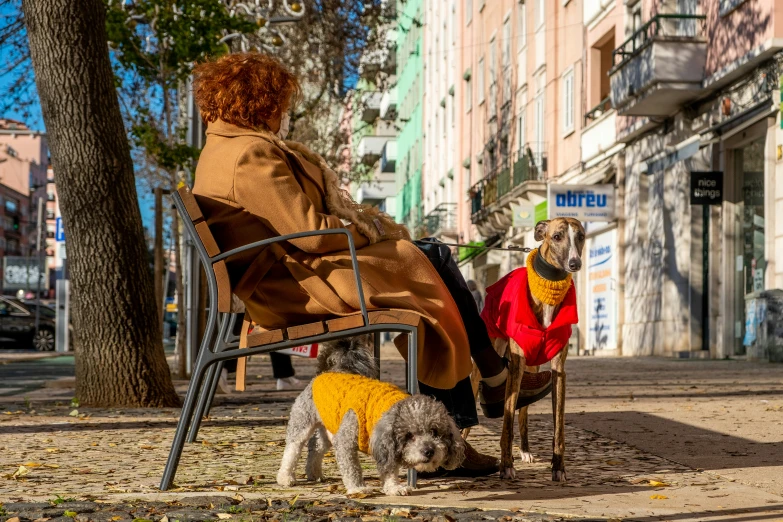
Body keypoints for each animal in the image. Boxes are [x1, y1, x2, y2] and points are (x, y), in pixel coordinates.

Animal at [274, 336, 462, 494]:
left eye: (435, 432)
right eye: (409, 435)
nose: (429, 451)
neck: (383, 410)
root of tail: (324, 372)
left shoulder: (384, 447)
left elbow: (389, 468)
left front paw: (393, 488)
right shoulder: (346, 441)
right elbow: (353, 469)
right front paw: (358, 488)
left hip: (328, 430)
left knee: (316, 448)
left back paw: (314, 473)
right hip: (302, 423)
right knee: (292, 450)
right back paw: (285, 477)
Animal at [472, 215, 580, 480]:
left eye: (581, 236)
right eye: (557, 236)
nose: (575, 263)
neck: (548, 288)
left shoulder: (558, 371)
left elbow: (558, 426)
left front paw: (558, 467)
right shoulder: (516, 366)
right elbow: (506, 422)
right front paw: (505, 465)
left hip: (531, 370)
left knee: (523, 413)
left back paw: (525, 450)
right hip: (487, 367)